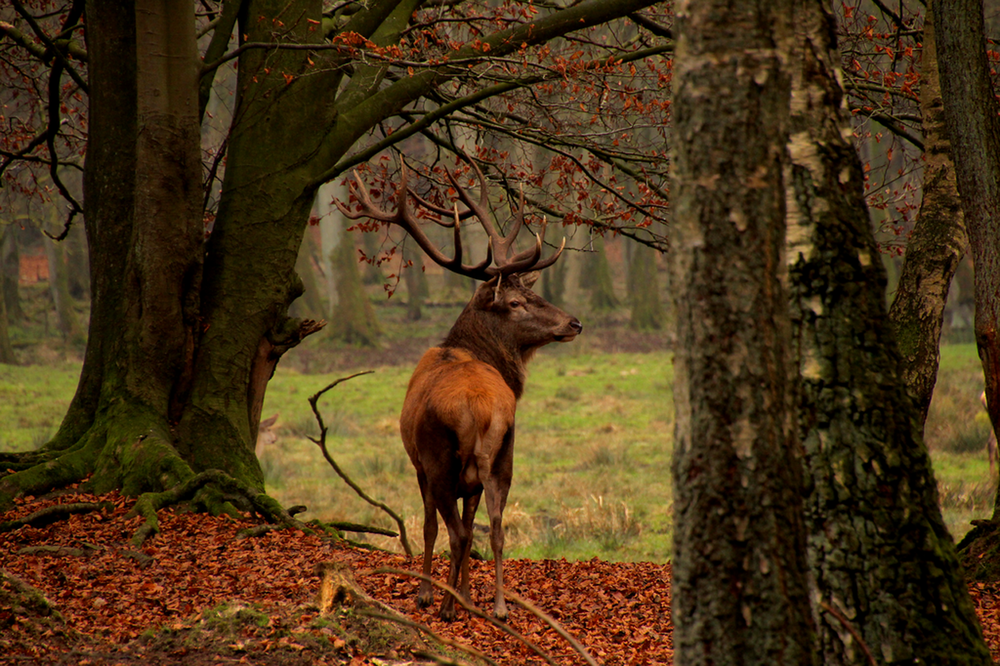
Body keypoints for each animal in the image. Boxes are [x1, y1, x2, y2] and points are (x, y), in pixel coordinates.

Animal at [338, 160, 584, 616]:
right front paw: (468, 592)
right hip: (503, 454)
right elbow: (473, 522)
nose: (574, 323)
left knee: (456, 531)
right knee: (496, 528)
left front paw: (428, 594)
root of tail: (483, 409)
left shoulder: (420, 465)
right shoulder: (473, 475)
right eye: (516, 303)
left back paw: (448, 606)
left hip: (440, 458)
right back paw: (497, 605)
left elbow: (430, 527)